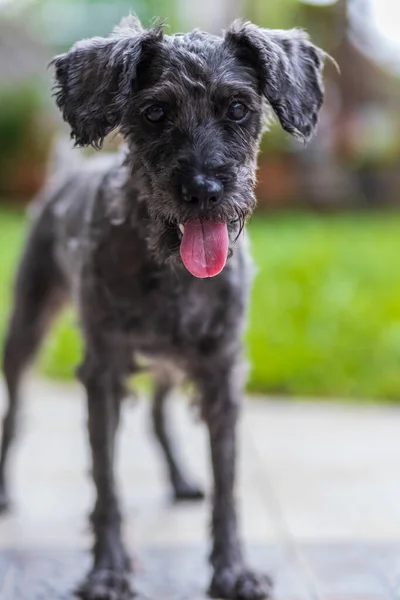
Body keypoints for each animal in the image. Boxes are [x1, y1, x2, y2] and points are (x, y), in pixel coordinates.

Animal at [0, 15, 326, 600]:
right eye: (154, 112)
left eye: (238, 108)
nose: (203, 190)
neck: (170, 266)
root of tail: (62, 176)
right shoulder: (103, 374)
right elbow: (105, 484)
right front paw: (107, 570)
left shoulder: (220, 373)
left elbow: (228, 485)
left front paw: (232, 570)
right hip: (26, 329)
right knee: (14, 414)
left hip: (172, 364)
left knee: (157, 415)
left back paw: (179, 479)